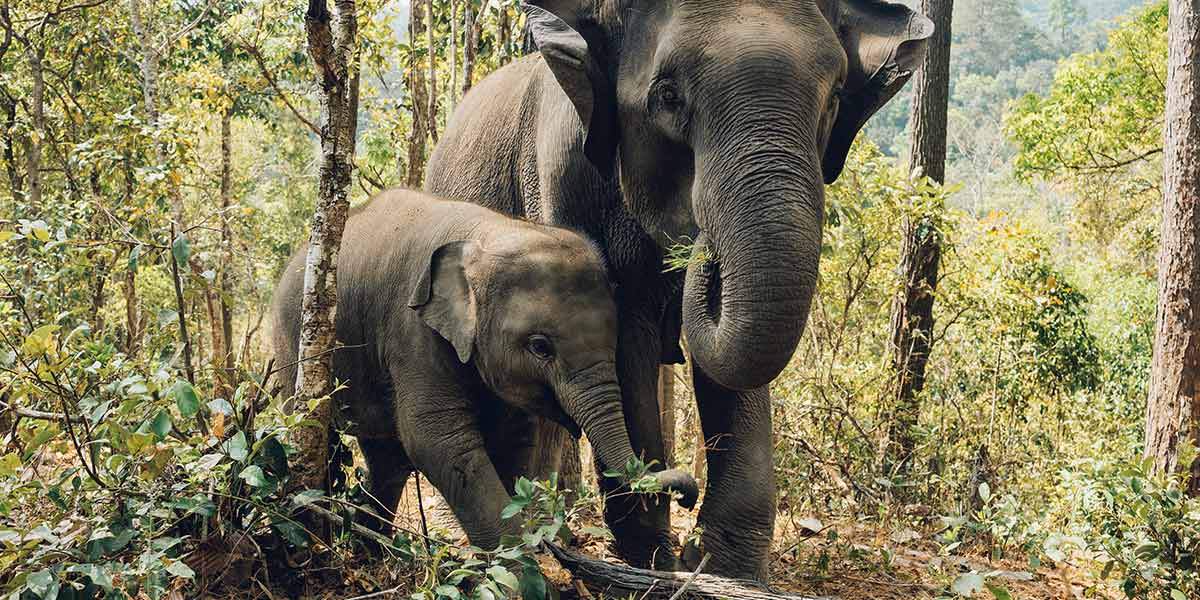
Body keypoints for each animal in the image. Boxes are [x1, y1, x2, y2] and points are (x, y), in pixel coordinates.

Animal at [272, 189, 700, 549]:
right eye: (540, 346)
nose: (687, 495)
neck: (487, 233)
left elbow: (514, 438)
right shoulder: (412, 330)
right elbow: (437, 439)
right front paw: (524, 568)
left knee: (387, 460)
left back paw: (370, 550)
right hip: (292, 346)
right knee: (320, 435)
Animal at [427, 0, 931, 580]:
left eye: (833, 99)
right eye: (668, 96)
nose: (702, 244)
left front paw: (723, 568)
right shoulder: (567, 178)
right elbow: (625, 341)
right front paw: (656, 562)